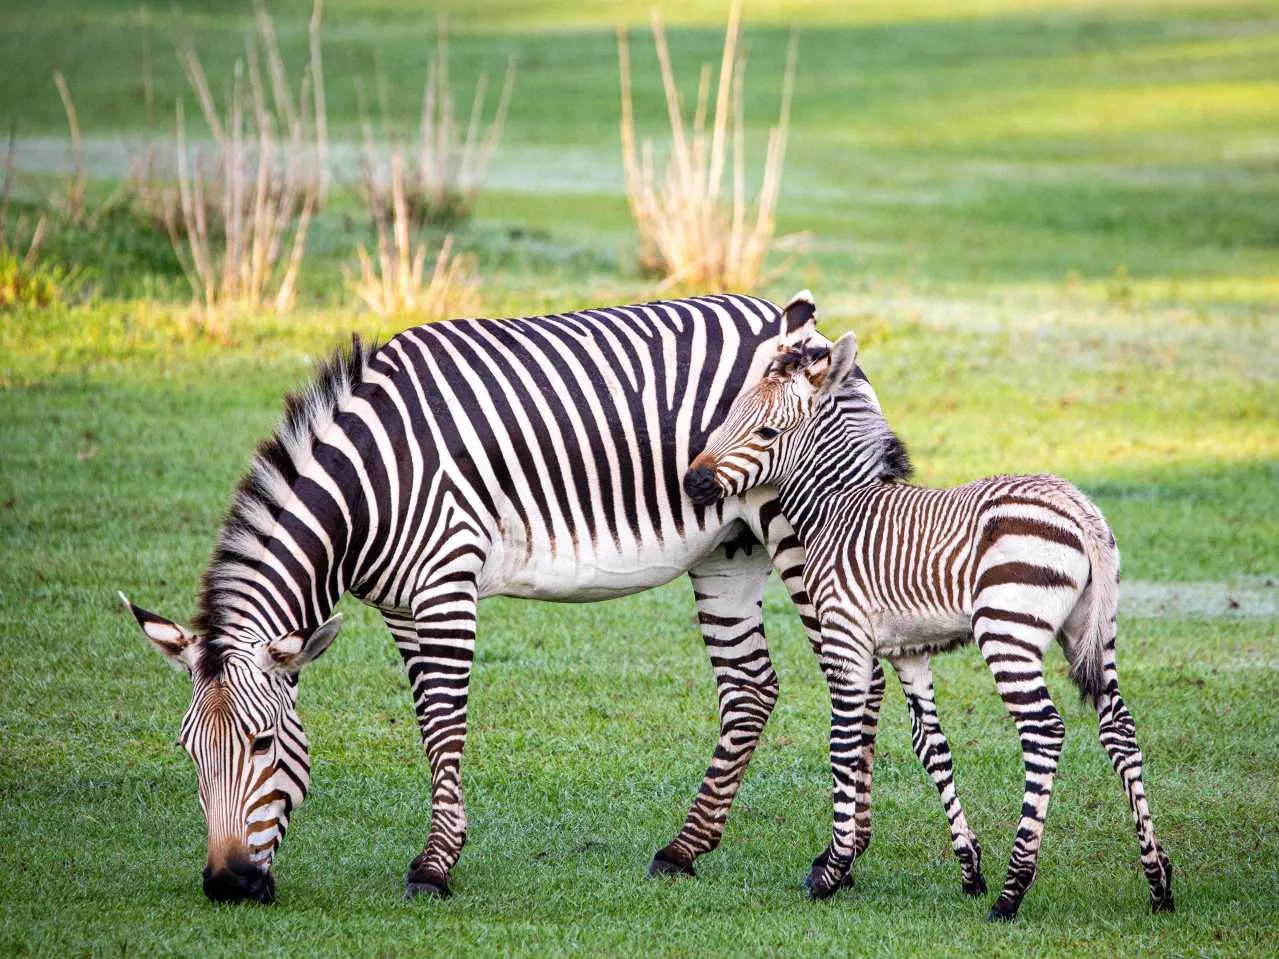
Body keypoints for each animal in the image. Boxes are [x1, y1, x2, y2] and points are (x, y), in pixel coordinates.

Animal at [122, 295, 966, 910]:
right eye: (187, 752)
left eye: (264, 745)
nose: (228, 886)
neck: (370, 481)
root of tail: (810, 334)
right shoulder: (400, 603)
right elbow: (428, 720)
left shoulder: (445, 582)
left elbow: (443, 723)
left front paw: (435, 863)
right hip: (727, 552)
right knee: (751, 689)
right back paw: (684, 848)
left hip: (800, 532)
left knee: (855, 682)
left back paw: (838, 860)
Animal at [685, 332, 1171, 925]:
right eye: (728, 417)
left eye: (766, 433)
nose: (691, 480)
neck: (839, 510)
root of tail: (1077, 506)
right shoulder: (907, 650)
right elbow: (931, 745)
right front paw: (969, 869)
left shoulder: (846, 638)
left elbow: (843, 743)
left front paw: (832, 871)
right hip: (1091, 632)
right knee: (1119, 728)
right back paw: (1158, 881)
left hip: (1006, 631)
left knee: (1044, 731)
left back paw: (1013, 892)